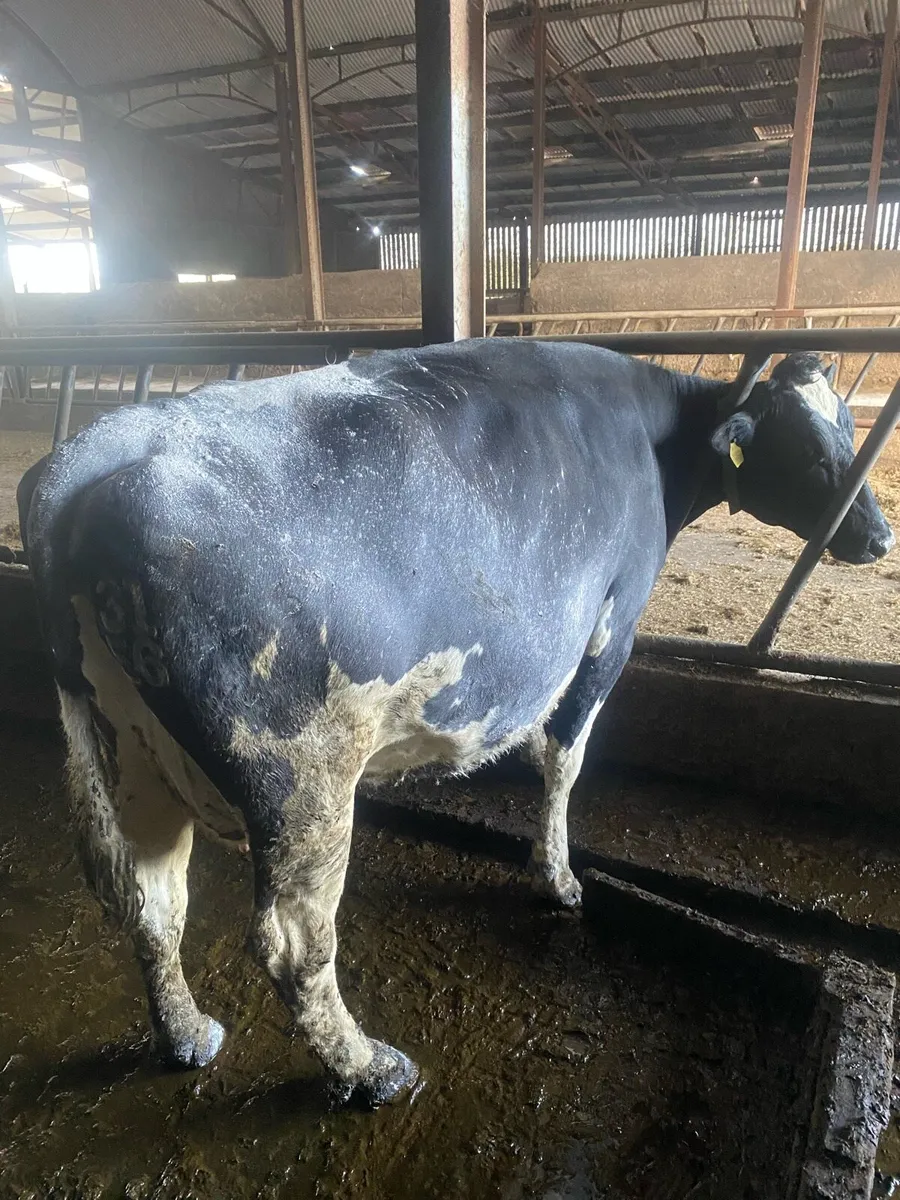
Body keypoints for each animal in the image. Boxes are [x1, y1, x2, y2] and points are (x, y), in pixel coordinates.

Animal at [19, 340, 893, 1108]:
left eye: (851, 433)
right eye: (810, 451)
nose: (879, 536)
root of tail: (86, 460)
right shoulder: (613, 621)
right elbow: (565, 757)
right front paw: (558, 879)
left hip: (130, 748)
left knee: (149, 897)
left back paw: (187, 1035)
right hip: (302, 773)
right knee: (293, 943)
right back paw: (369, 1070)